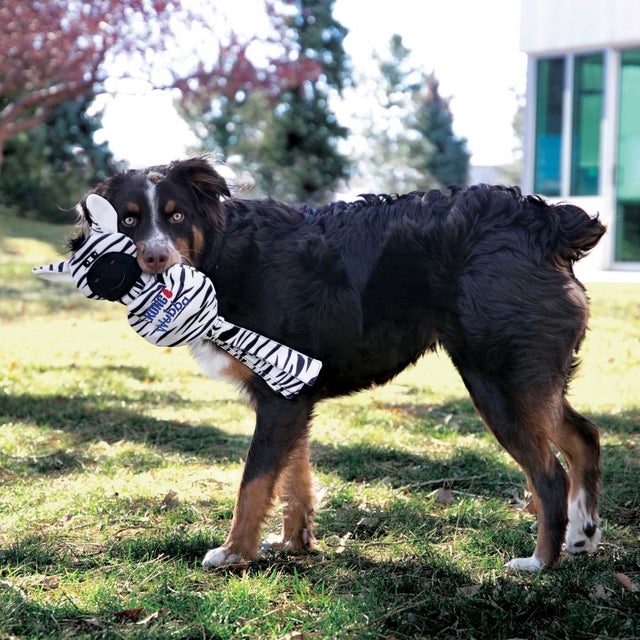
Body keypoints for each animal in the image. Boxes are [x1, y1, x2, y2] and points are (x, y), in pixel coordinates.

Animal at [75, 155, 604, 568]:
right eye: (128, 221)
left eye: (177, 216)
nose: (156, 259)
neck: (226, 255)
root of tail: (544, 222)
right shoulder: (290, 397)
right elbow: (293, 480)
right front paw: (294, 544)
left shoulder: (280, 399)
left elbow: (254, 482)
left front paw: (235, 553)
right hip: (525, 381)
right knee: (584, 436)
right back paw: (582, 536)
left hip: (497, 382)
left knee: (550, 475)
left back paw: (539, 562)